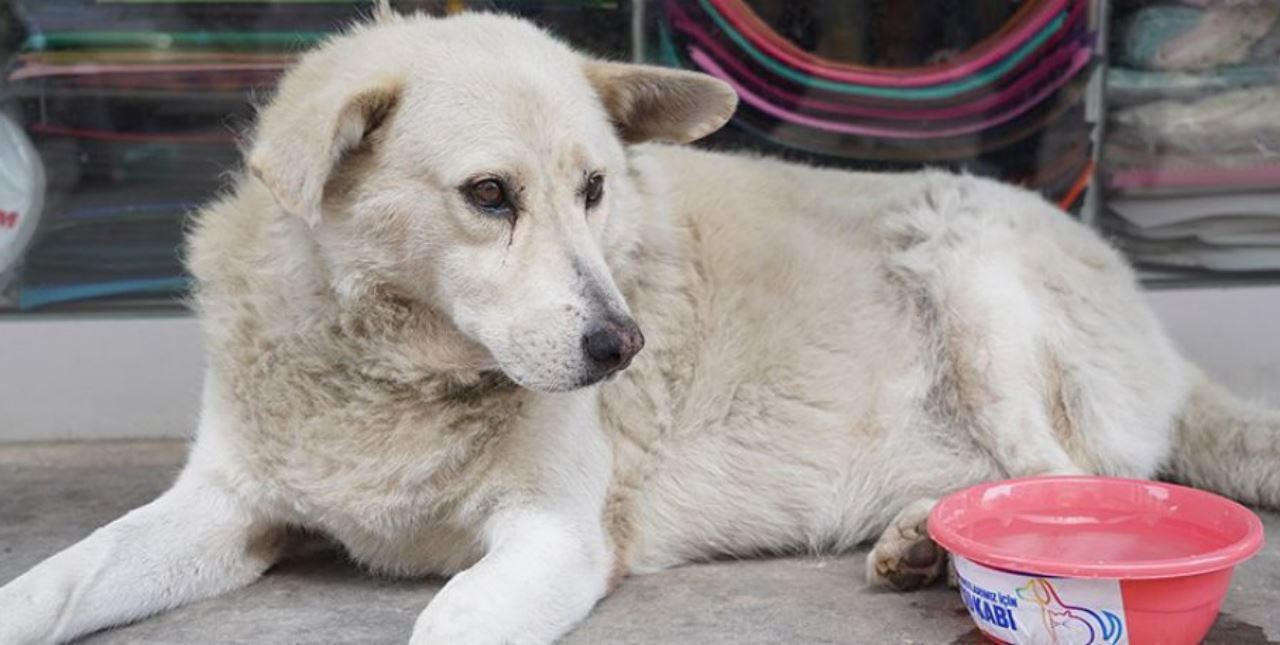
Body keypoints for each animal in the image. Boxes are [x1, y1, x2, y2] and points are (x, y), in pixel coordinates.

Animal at [2, 6, 1280, 645]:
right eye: (488, 195)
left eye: (595, 189)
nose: (622, 351)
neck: (386, 374)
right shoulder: (225, 508)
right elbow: (53, 585)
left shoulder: (554, 538)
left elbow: (447, 624)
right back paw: (922, 540)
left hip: (969, 272)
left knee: (1065, 487)